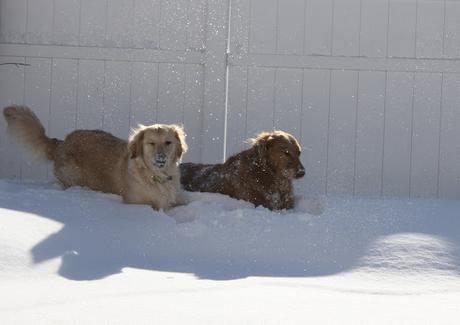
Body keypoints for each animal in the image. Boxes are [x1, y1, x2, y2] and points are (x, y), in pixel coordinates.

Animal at [3, 105, 187, 209]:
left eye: (168, 142)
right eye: (151, 143)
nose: (161, 158)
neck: (156, 176)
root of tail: (62, 142)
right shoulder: (135, 203)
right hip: (75, 176)